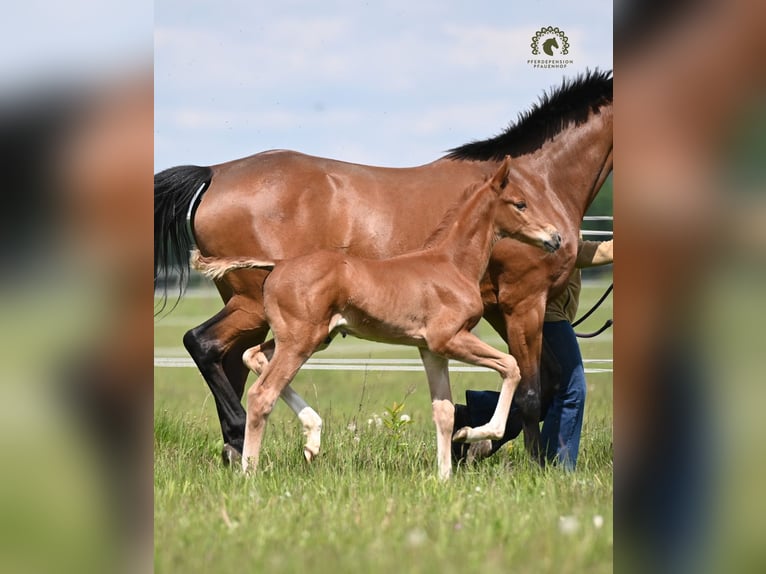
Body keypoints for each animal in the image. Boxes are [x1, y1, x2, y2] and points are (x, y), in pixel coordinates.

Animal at [191, 158, 561, 479]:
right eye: (520, 204)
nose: (555, 237)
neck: (452, 264)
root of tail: (277, 264)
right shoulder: (450, 339)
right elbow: (511, 367)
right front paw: (472, 434)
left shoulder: (431, 350)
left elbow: (443, 411)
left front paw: (443, 477)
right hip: (300, 340)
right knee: (261, 394)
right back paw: (250, 471)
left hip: (310, 338)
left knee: (253, 356)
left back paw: (312, 436)